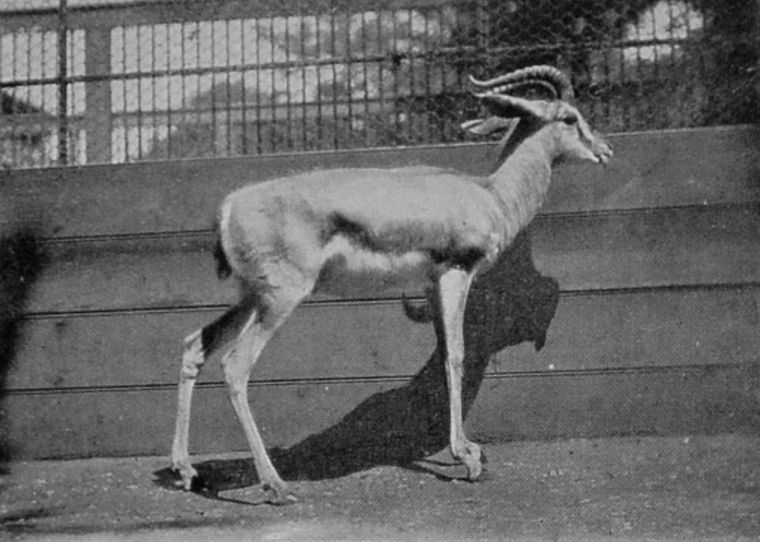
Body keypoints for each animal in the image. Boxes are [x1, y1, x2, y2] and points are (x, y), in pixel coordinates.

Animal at [170, 65, 613, 504]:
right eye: (569, 117)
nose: (605, 150)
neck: (490, 195)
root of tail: (229, 207)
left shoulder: (432, 282)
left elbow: (443, 353)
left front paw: (463, 450)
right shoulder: (457, 272)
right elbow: (457, 354)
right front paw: (467, 457)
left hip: (252, 297)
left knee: (196, 345)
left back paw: (186, 470)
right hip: (281, 297)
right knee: (235, 366)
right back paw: (275, 485)